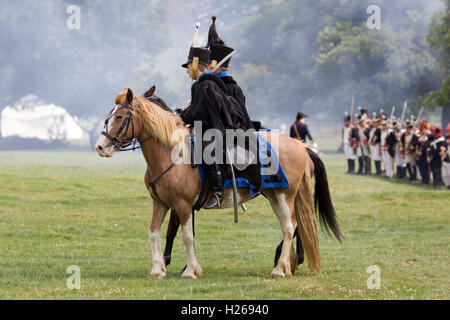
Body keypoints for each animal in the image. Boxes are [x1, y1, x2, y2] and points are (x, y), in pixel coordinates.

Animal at [95, 88, 342, 280]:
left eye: (120, 117)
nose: (100, 147)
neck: (173, 154)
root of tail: (301, 146)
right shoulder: (161, 203)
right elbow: (154, 232)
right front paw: (158, 270)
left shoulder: (183, 205)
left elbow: (186, 235)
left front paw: (189, 270)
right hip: (274, 196)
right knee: (291, 225)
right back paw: (287, 264)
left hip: (285, 195)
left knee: (290, 227)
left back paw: (280, 269)